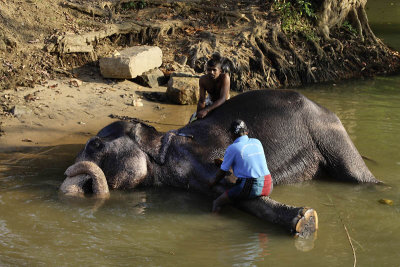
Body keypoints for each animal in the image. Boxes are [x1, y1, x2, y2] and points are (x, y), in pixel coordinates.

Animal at [61, 90, 380, 239]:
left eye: (95, 145)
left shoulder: (197, 157)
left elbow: (236, 187)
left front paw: (306, 222)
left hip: (329, 133)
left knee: (360, 178)